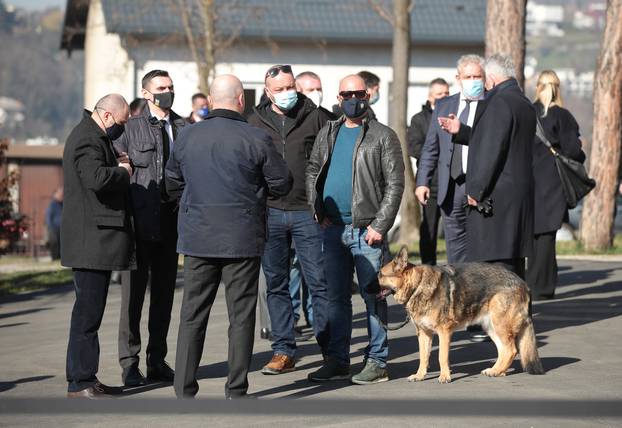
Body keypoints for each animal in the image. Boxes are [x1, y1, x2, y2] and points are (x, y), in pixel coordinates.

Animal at [376, 246, 544, 382]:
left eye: (380, 275)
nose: (369, 286)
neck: (418, 285)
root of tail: (523, 283)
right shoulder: (424, 333)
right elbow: (423, 357)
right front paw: (419, 375)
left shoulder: (444, 332)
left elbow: (442, 356)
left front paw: (445, 376)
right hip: (491, 327)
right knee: (504, 350)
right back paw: (497, 370)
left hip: (499, 325)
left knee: (511, 350)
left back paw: (497, 371)